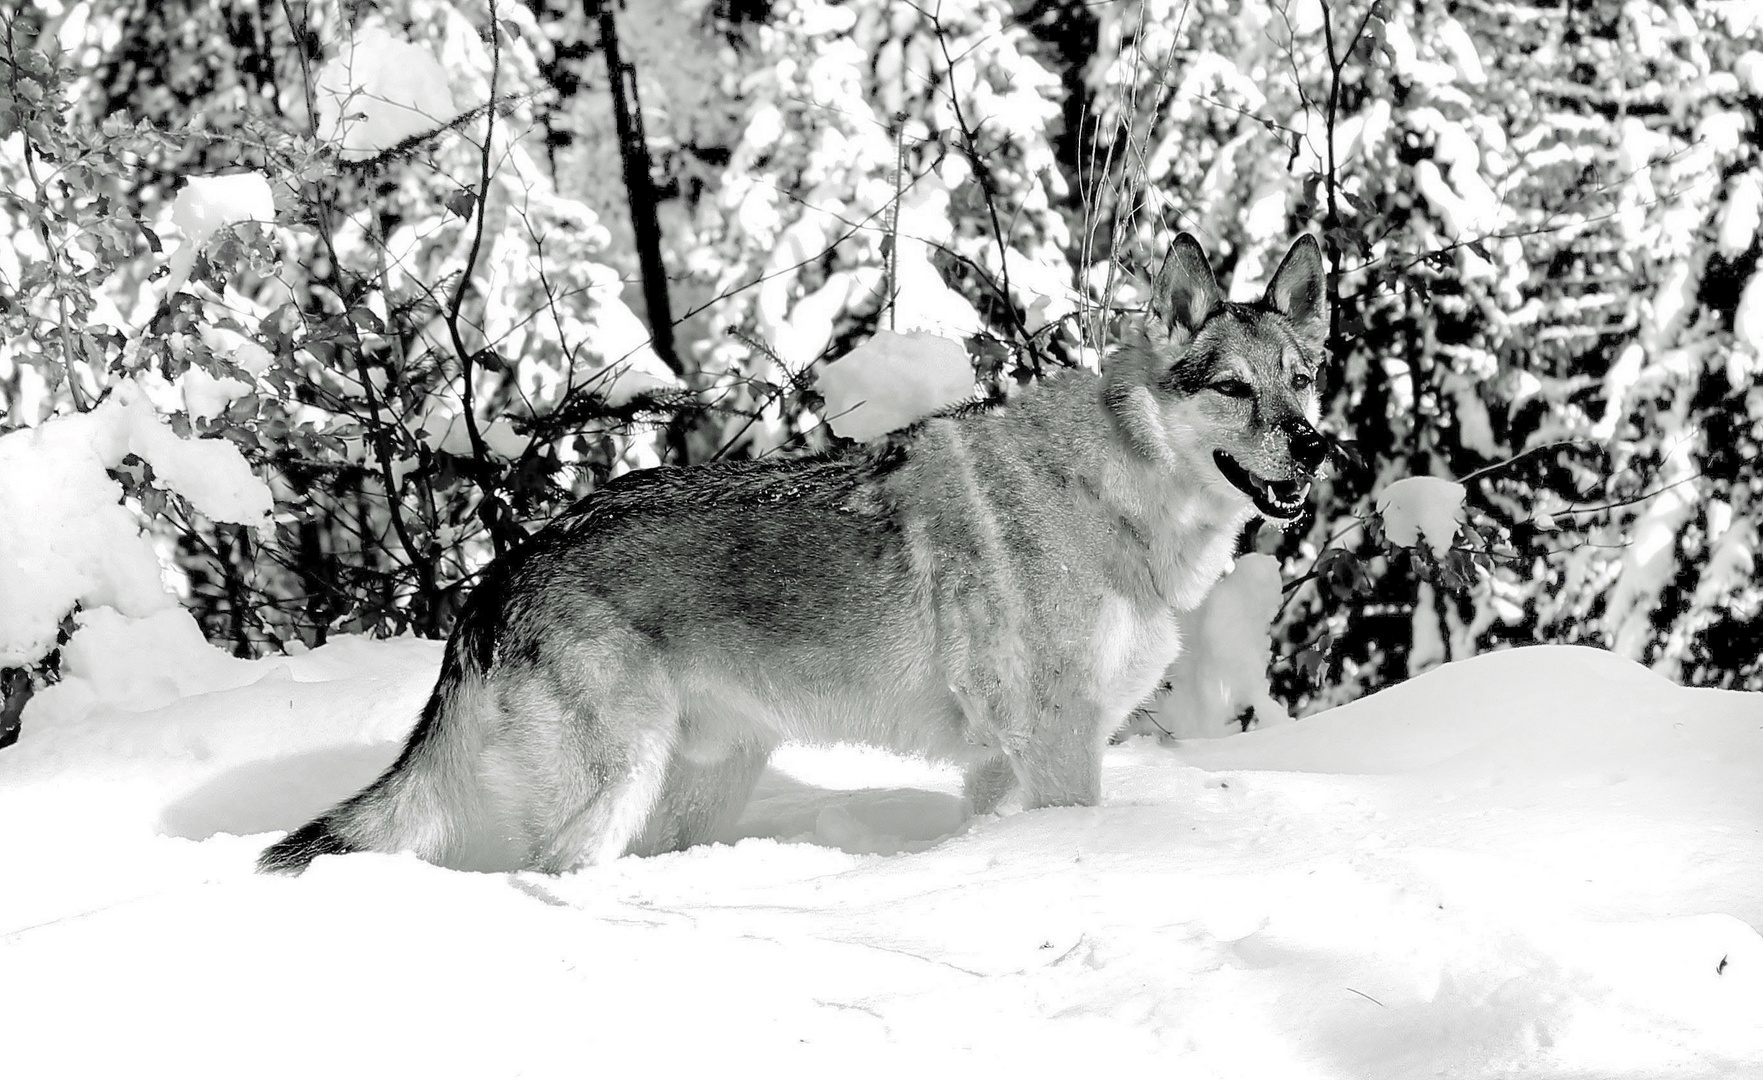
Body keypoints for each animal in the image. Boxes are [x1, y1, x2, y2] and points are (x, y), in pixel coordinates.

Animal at [260, 230, 1325, 870]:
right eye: (1232, 389)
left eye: (1304, 379)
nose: (1317, 446)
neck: (1111, 495)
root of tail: (511, 565)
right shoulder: (1057, 747)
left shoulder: (1001, 768)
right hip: (611, 793)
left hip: (699, 792)